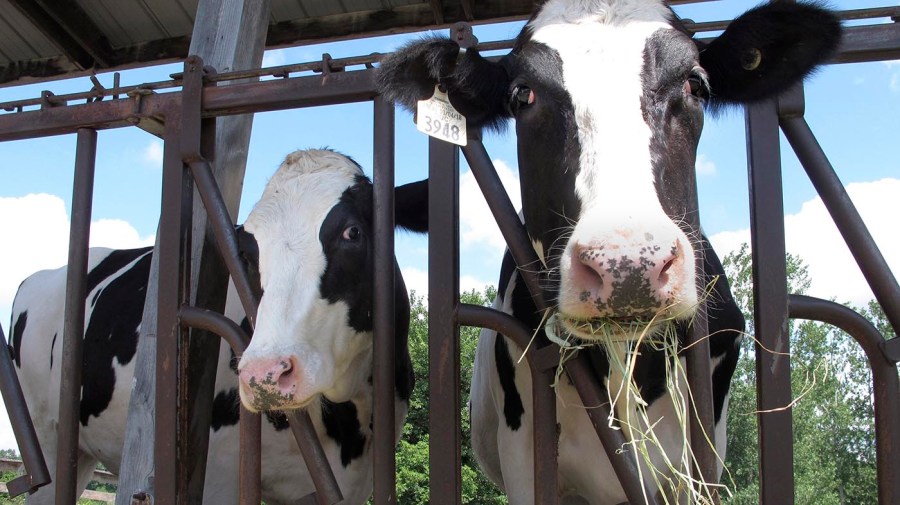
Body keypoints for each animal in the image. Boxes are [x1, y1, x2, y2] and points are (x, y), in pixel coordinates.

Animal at [7, 148, 428, 502]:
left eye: (352, 232)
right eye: (246, 252)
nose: (264, 374)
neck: (346, 422)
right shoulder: (217, 476)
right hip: (49, 439)